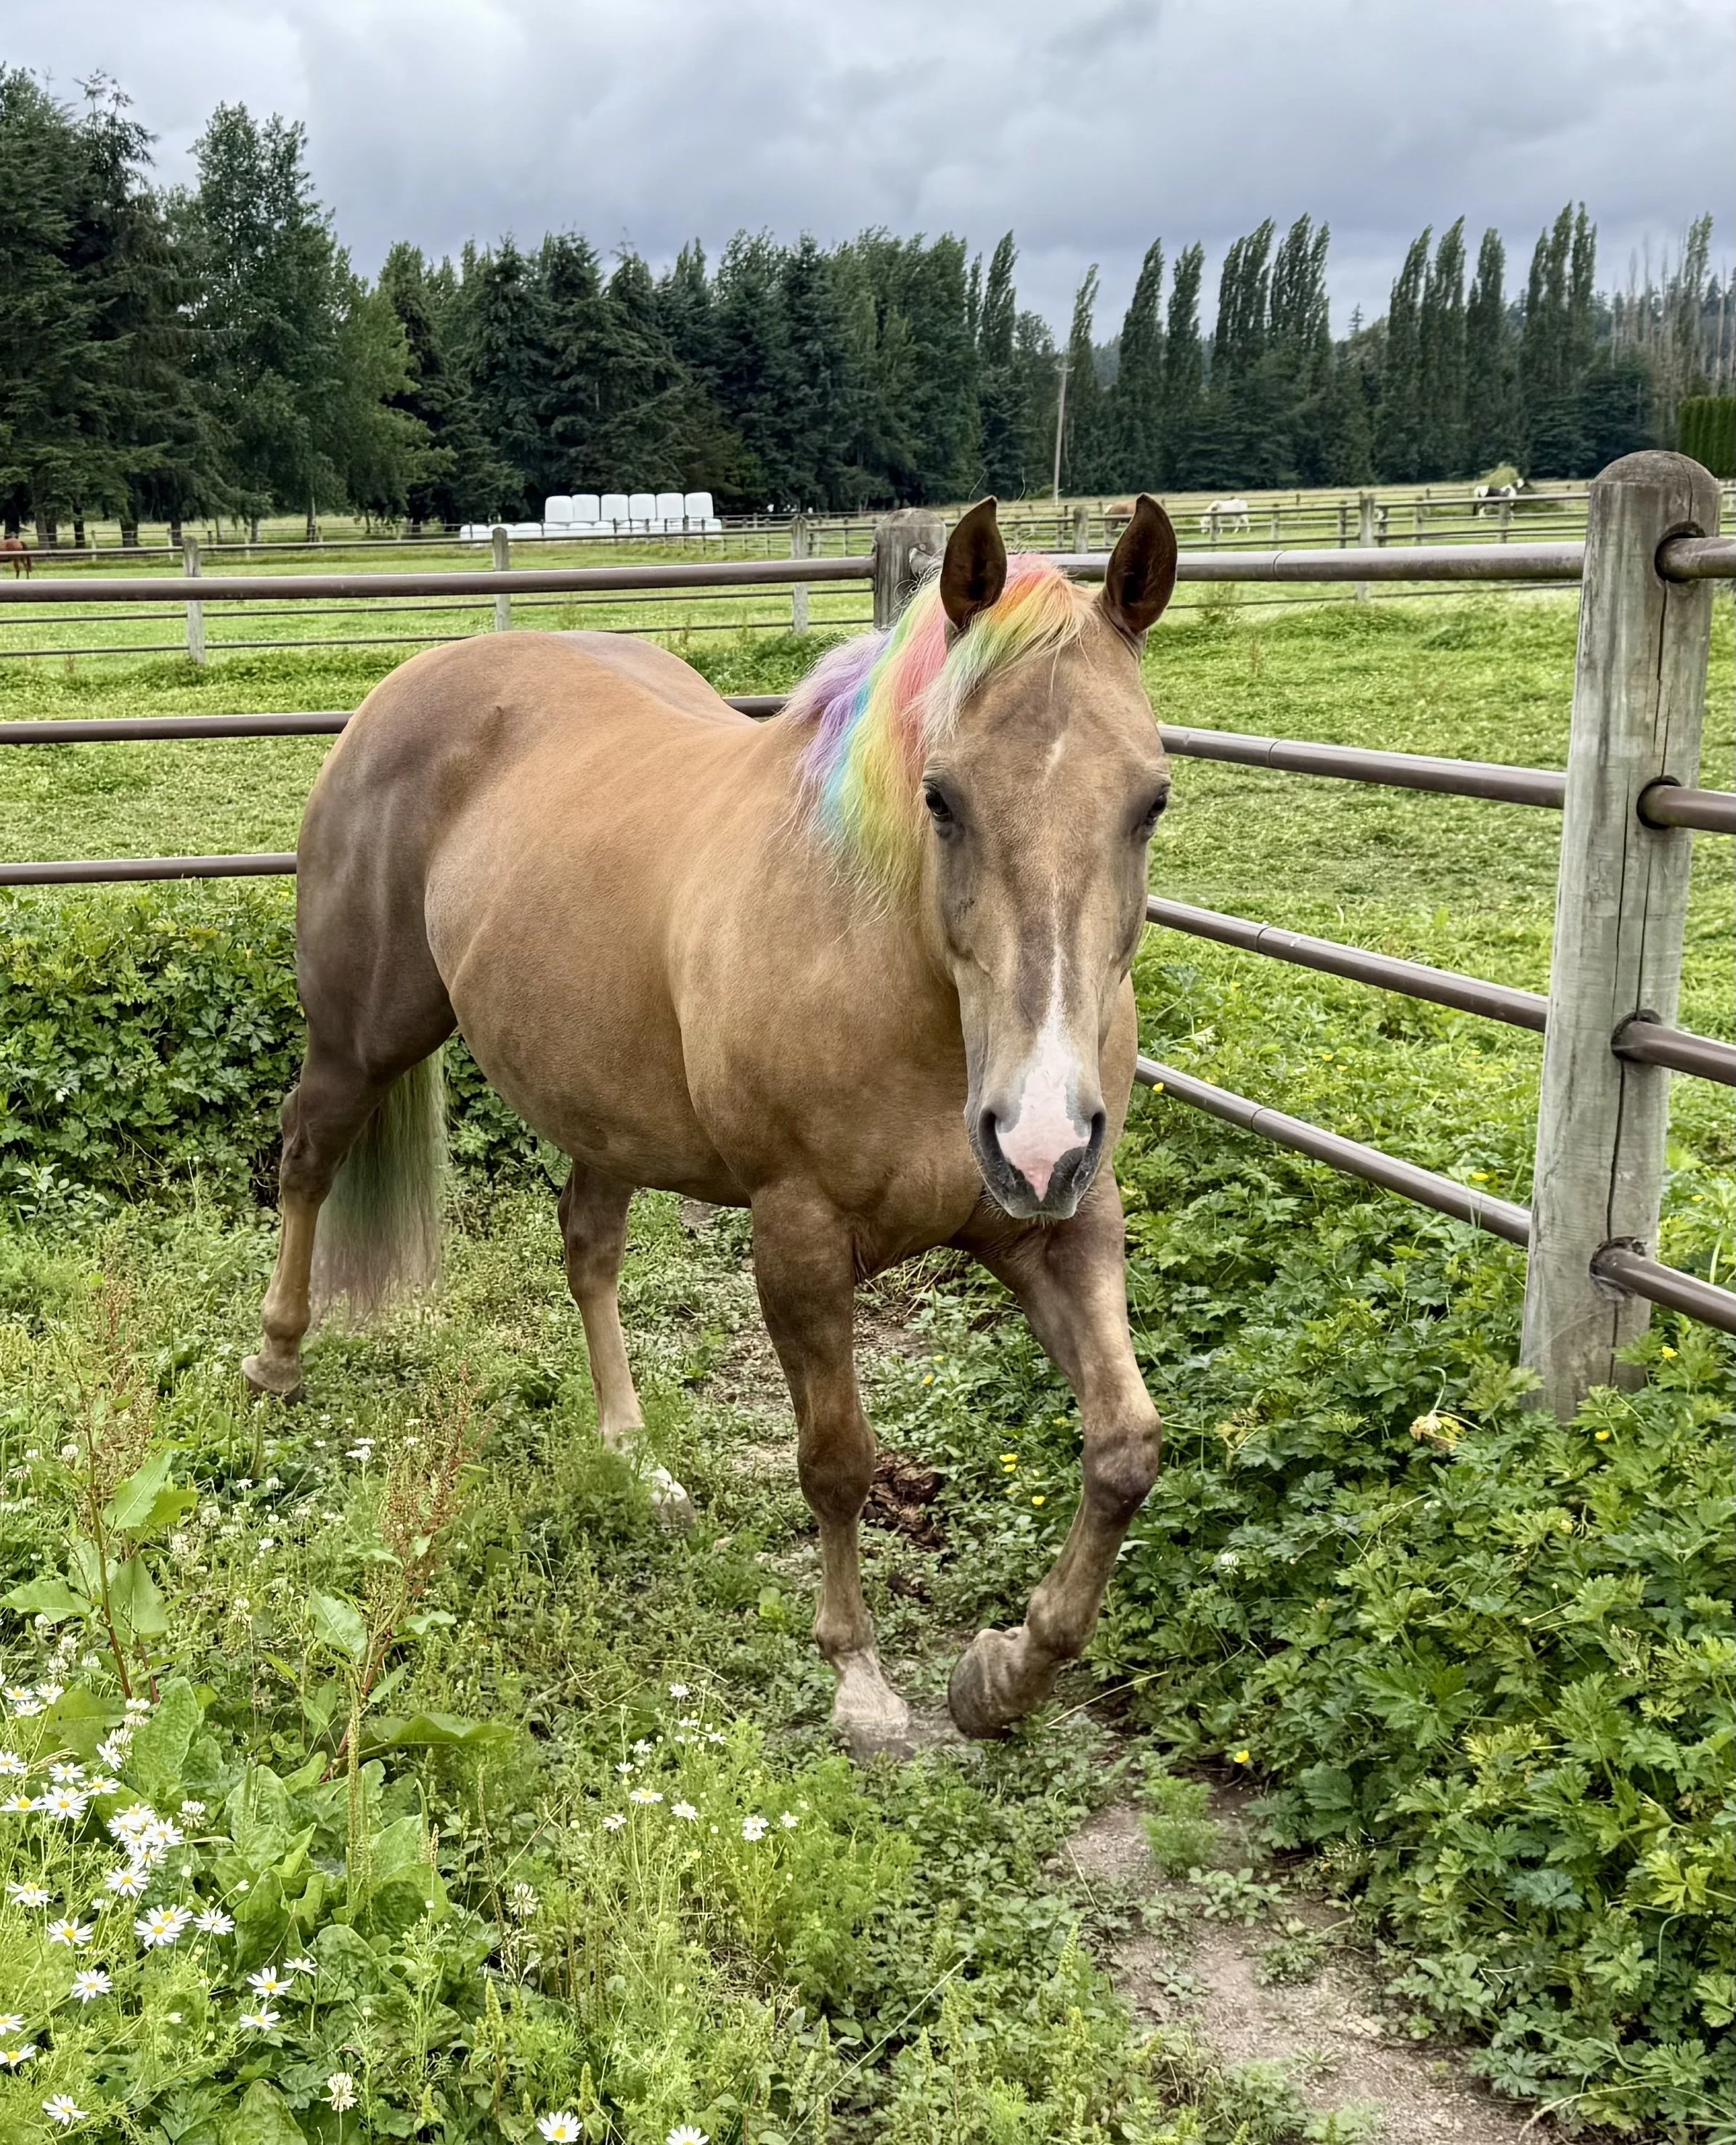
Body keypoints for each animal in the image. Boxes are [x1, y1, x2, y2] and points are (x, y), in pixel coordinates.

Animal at [244, 494, 1180, 1756]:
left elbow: (1123, 1448)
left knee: (587, 1248)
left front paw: (1002, 1674)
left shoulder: (1059, 1223)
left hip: (601, 1100)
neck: (898, 973)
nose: (1034, 1133)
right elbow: (837, 1460)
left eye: (1150, 799)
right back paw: (277, 1359)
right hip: (359, 1041)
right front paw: (858, 1676)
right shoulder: (797, 1237)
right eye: (941, 797)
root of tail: (413, 681)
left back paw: (636, 1462)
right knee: (305, 1158)